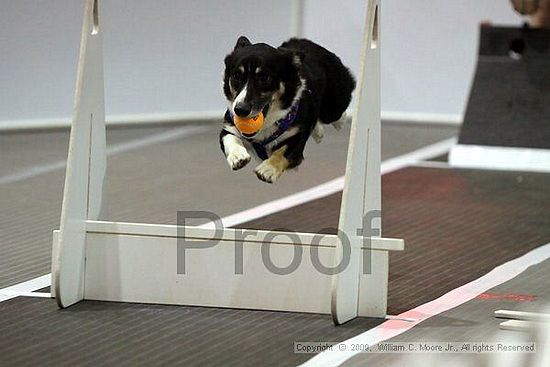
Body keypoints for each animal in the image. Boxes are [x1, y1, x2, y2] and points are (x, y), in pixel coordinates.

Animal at [221, 36, 356, 183]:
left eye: (264, 78)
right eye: (236, 76)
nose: (240, 110)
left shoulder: (298, 137)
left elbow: (283, 151)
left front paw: (268, 170)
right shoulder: (229, 125)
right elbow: (230, 138)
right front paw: (238, 157)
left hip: (334, 106)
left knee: (337, 113)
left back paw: (338, 122)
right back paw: (318, 132)